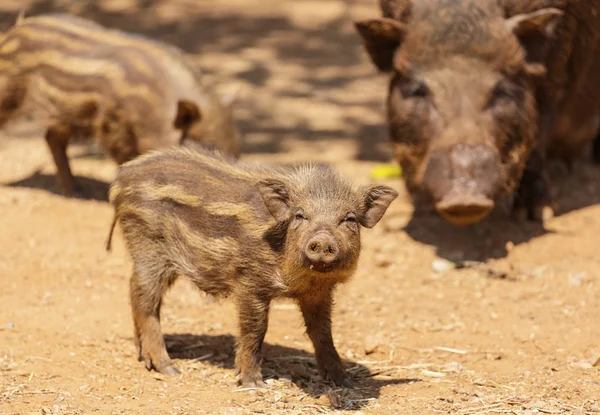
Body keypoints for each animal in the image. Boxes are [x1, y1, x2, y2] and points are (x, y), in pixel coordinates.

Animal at [0, 13, 241, 198]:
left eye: (235, 151)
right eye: (207, 145)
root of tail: (15, 28)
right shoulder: (112, 124)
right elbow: (125, 159)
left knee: (52, 138)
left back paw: (76, 192)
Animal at [106, 148, 398, 388]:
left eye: (349, 219)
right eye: (299, 215)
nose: (323, 240)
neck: (300, 280)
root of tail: (121, 178)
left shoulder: (320, 294)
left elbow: (323, 333)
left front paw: (344, 381)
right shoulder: (249, 283)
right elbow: (254, 330)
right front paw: (252, 384)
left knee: (133, 291)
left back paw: (144, 358)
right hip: (148, 247)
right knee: (144, 301)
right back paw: (169, 369)